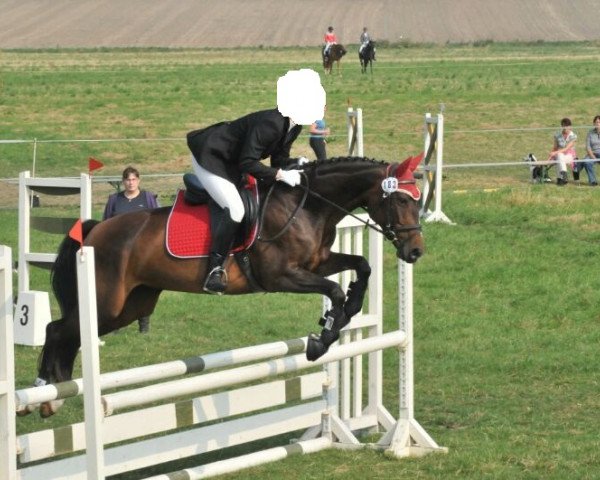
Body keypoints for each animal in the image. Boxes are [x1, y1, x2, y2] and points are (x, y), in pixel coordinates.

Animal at [28, 155, 424, 416]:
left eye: (419, 201)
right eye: (401, 199)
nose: (415, 251)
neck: (307, 205)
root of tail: (96, 229)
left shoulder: (317, 263)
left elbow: (362, 267)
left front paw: (348, 312)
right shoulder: (281, 276)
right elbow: (335, 291)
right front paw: (320, 340)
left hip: (131, 305)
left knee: (70, 333)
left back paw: (54, 392)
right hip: (107, 302)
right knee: (58, 329)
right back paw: (45, 395)